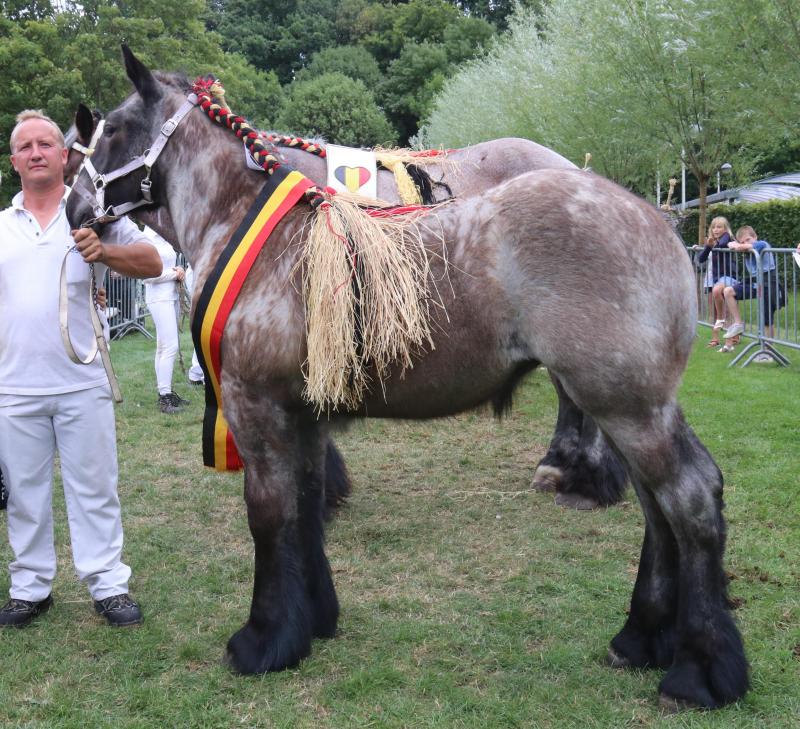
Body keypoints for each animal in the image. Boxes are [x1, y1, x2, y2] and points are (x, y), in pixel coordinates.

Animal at [67, 48, 752, 708]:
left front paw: (264, 640)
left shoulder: (258, 409)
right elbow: (305, 505)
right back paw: (641, 637)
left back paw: (699, 670)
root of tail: (659, 224)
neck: (266, 235)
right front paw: (313, 619)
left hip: (628, 407)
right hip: (632, 408)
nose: (74, 206)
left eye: (114, 130)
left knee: (688, 499)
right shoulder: (304, 416)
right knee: (659, 509)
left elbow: (269, 513)